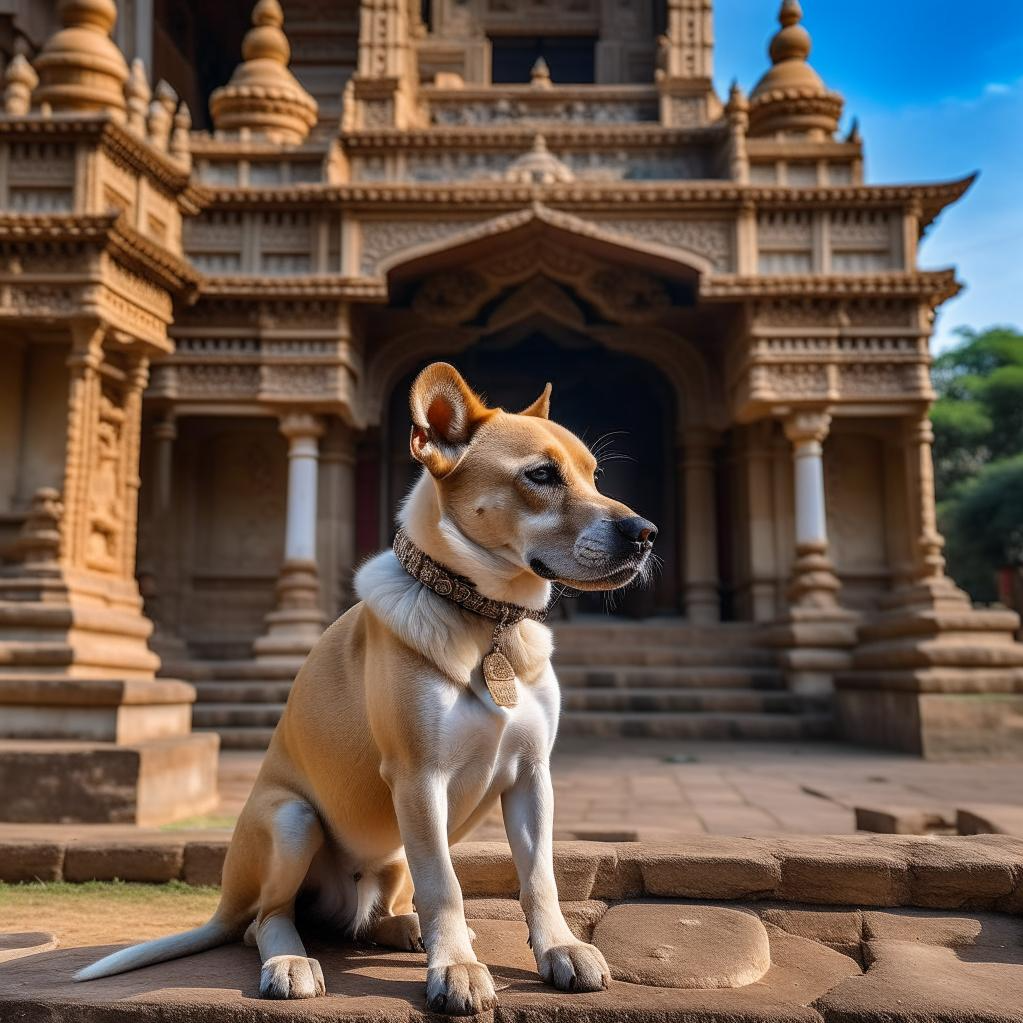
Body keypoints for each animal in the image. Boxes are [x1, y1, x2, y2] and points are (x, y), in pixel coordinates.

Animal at [75, 362, 658, 1014]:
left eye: (593, 474)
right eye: (540, 475)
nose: (645, 533)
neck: (485, 619)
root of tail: (226, 903)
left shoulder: (533, 776)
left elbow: (538, 879)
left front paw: (559, 949)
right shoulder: (419, 778)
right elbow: (445, 886)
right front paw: (456, 969)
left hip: (389, 854)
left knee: (367, 918)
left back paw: (403, 929)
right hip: (293, 821)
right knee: (267, 920)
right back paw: (292, 960)